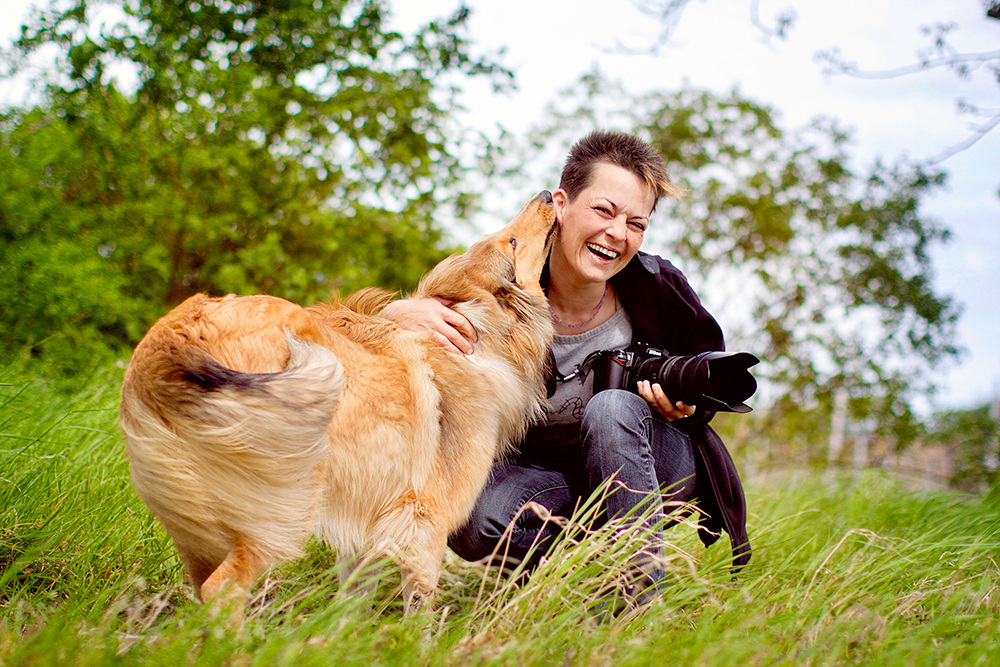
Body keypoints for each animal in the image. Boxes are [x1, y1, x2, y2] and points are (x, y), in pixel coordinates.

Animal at [121, 190, 560, 620]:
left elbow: (351, 606)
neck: (476, 332)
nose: (547, 194)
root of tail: (175, 336)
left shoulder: (368, 526)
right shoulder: (425, 525)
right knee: (222, 590)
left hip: (200, 527)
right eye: (511, 241)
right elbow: (418, 612)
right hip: (285, 506)